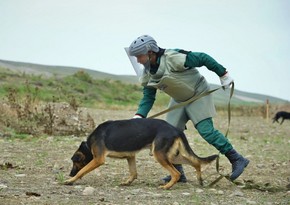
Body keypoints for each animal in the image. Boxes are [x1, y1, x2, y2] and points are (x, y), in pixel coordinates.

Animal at [63, 117, 218, 190]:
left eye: (74, 161)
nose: (69, 173)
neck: (89, 144)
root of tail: (175, 129)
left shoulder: (98, 159)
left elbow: (82, 171)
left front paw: (71, 181)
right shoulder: (130, 156)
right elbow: (133, 173)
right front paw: (127, 182)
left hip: (160, 155)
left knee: (176, 173)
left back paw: (167, 187)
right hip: (173, 156)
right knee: (195, 162)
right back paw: (200, 179)